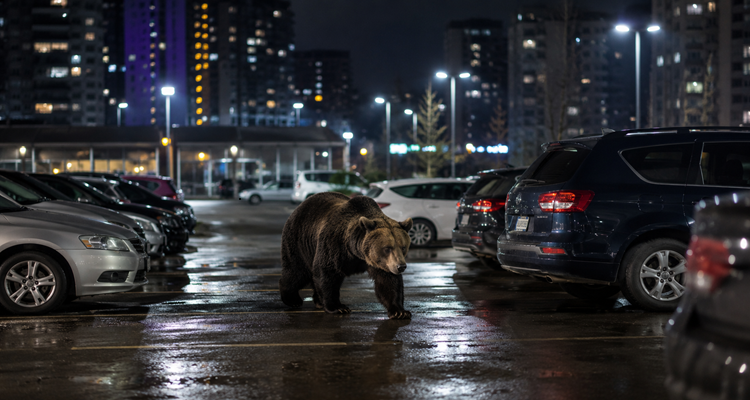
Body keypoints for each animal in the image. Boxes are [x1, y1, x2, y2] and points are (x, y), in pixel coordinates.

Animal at [279, 192, 413, 319]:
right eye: (387, 248)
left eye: (403, 247)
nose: (401, 266)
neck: (357, 252)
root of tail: (300, 206)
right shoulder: (334, 245)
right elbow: (326, 273)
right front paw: (338, 307)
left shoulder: (378, 262)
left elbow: (388, 281)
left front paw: (400, 312)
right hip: (299, 240)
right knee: (298, 271)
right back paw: (293, 299)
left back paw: (318, 302)